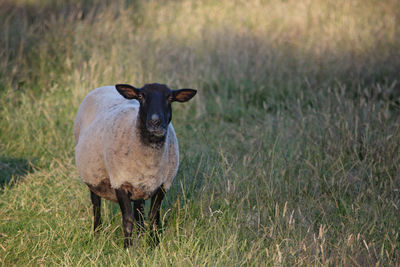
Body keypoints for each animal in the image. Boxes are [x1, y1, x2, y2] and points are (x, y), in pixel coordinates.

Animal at [74, 82, 197, 248]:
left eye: (170, 98)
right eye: (140, 96)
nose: (155, 122)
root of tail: (106, 86)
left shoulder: (162, 186)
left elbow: (153, 218)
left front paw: (153, 245)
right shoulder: (120, 183)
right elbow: (127, 219)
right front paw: (128, 248)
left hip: (139, 186)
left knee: (139, 211)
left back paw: (140, 235)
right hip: (93, 177)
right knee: (96, 206)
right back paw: (97, 234)